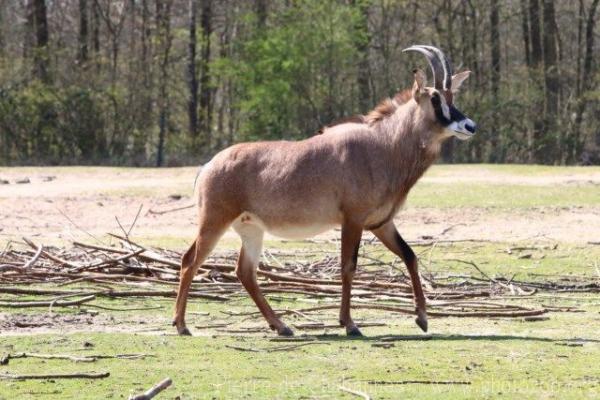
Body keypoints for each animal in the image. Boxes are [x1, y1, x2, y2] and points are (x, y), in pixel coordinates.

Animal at [175, 44, 478, 334]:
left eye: (452, 96)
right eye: (435, 98)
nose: (470, 126)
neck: (383, 145)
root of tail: (209, 165)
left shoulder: (381, 223)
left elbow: (410, 256)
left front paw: (422, 318)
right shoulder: (353, 220)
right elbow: (348, 267)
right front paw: (350, 324)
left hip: (250, 228)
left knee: (245, 272)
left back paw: (281, 326)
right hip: (214, 221)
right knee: (190, 261)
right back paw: (181, 325)